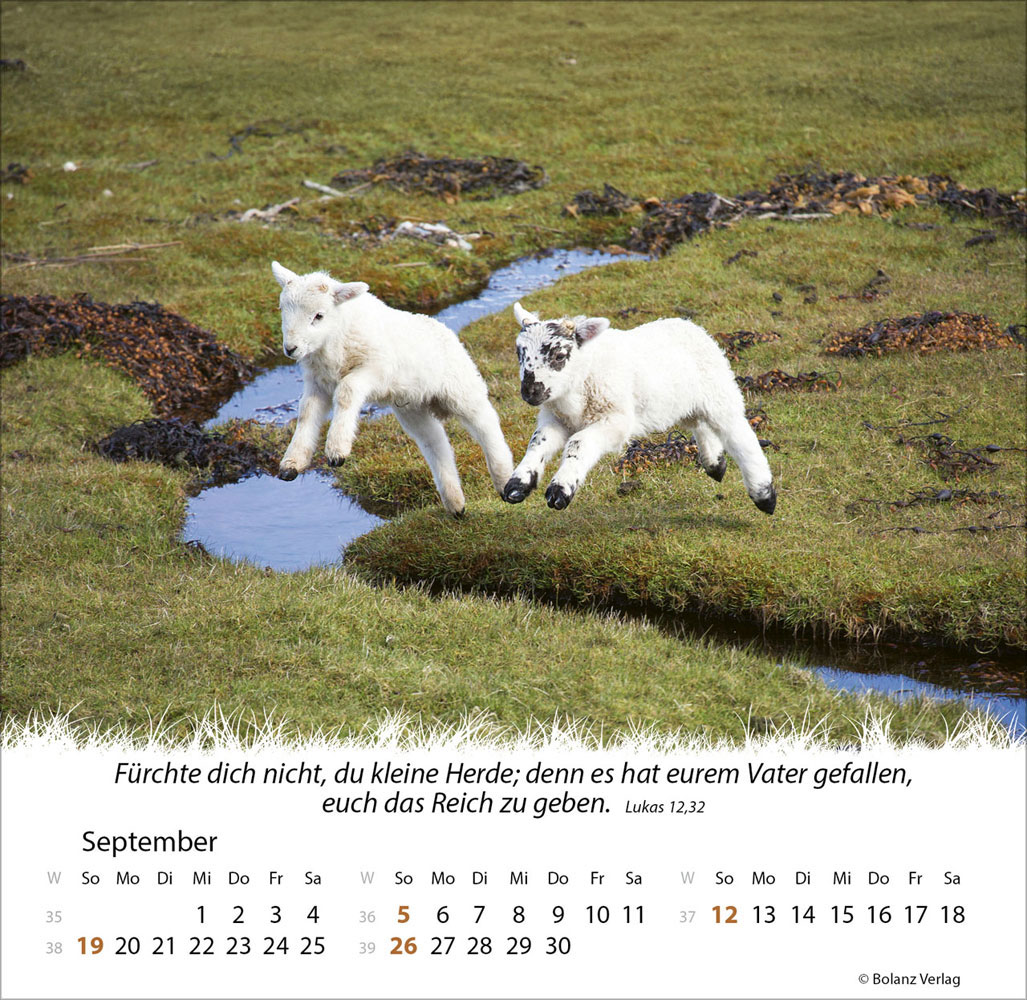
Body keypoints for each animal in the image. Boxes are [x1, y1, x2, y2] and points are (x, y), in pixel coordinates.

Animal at [271, 261, 513, 516]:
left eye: (319, 315)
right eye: (282, 309)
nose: (290, 349)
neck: (333, 342)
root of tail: (444, 329)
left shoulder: (375, 370)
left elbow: (346, 392)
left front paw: (337, 450)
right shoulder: (317, 384)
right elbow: (306, 412)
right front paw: (292, 463)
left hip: (460, 388)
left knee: (486, 424)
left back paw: (503, 479)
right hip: (411, 406)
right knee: (436, 442)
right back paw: (455, 503)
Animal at [501, 302, 777, 514]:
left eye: (559, 356)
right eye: (519, 354)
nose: (530, 392)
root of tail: (690, 325)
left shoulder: (615, 420)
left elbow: (578, 443)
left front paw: (560, 490)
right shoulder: (555, 419)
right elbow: (538, 442)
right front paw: (518, 484)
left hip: (719, 392)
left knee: (740, 436)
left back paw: (764, 496)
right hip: (686, 402)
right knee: (701, 425)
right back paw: (715, 465)